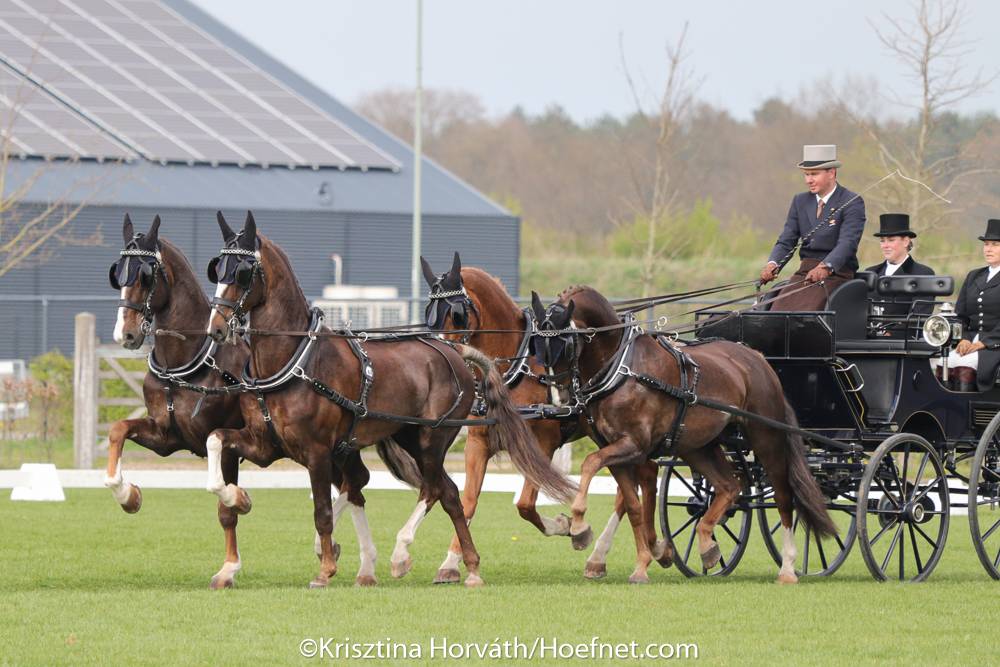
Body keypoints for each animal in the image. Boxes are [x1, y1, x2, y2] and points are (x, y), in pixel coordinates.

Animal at [206, 211, 576, 588]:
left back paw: (432, 560)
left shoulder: (317, 451)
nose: (216, 327)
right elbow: (215, 440)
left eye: (242, 272)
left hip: (431, 441)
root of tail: (455, 352)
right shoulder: (266, 444)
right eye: (217, 268)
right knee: (443, 491)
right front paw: (238, 498)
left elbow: (322, 511)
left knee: (441, 491)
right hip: (408, 436)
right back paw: (455, 564)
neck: (295, 358)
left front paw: (325, 570)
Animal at [418, 253, 668, 580]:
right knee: (637, 483)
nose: (441, 354)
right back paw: (635, 552)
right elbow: (468, 500)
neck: (514, 367)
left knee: (636, 483)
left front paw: (569, 527)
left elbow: (525, 503)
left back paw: (618, 552)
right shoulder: (479, 441)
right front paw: (450, 562)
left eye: (457, 314)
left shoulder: (543, 443)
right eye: (429, 313)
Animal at [532, 288, 836, 584]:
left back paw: (788, 567)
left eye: (566, 344)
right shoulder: (616, 449)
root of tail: (758, 359)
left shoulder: (635, 445)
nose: (560, 399)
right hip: (699, 446)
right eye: (537, 347)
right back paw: (707, 546)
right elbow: (633, 506)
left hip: (766, 437)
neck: (622, 368)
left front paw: (579, 527)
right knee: (730, 486)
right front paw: (642, 564)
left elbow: (590, 464)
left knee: (784, 497)